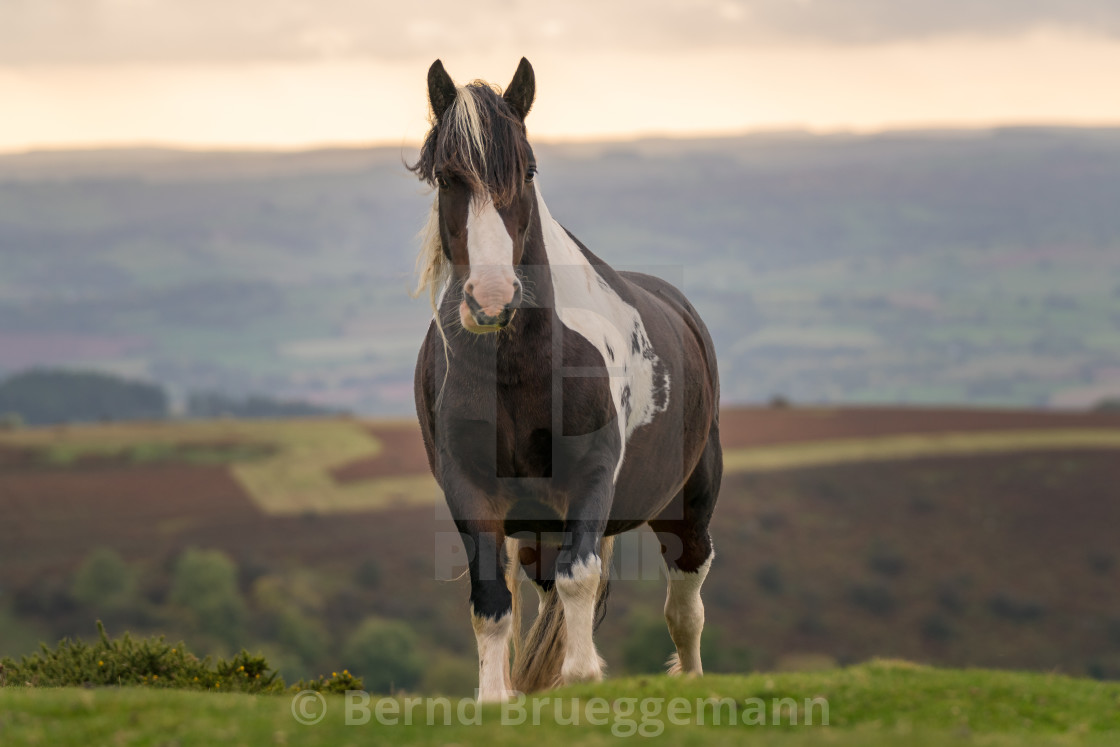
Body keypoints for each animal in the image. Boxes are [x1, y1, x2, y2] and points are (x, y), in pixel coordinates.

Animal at [407, 57, 721, 703]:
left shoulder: (592, 477)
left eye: (527, 171)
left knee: (685, 607)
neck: (519, 370)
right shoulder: (468, 488)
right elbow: (491, 603)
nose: (493, 299)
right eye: (446, 178)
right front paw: (496, 699)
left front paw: (582, 681)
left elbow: (582, 578)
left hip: (690, 508)